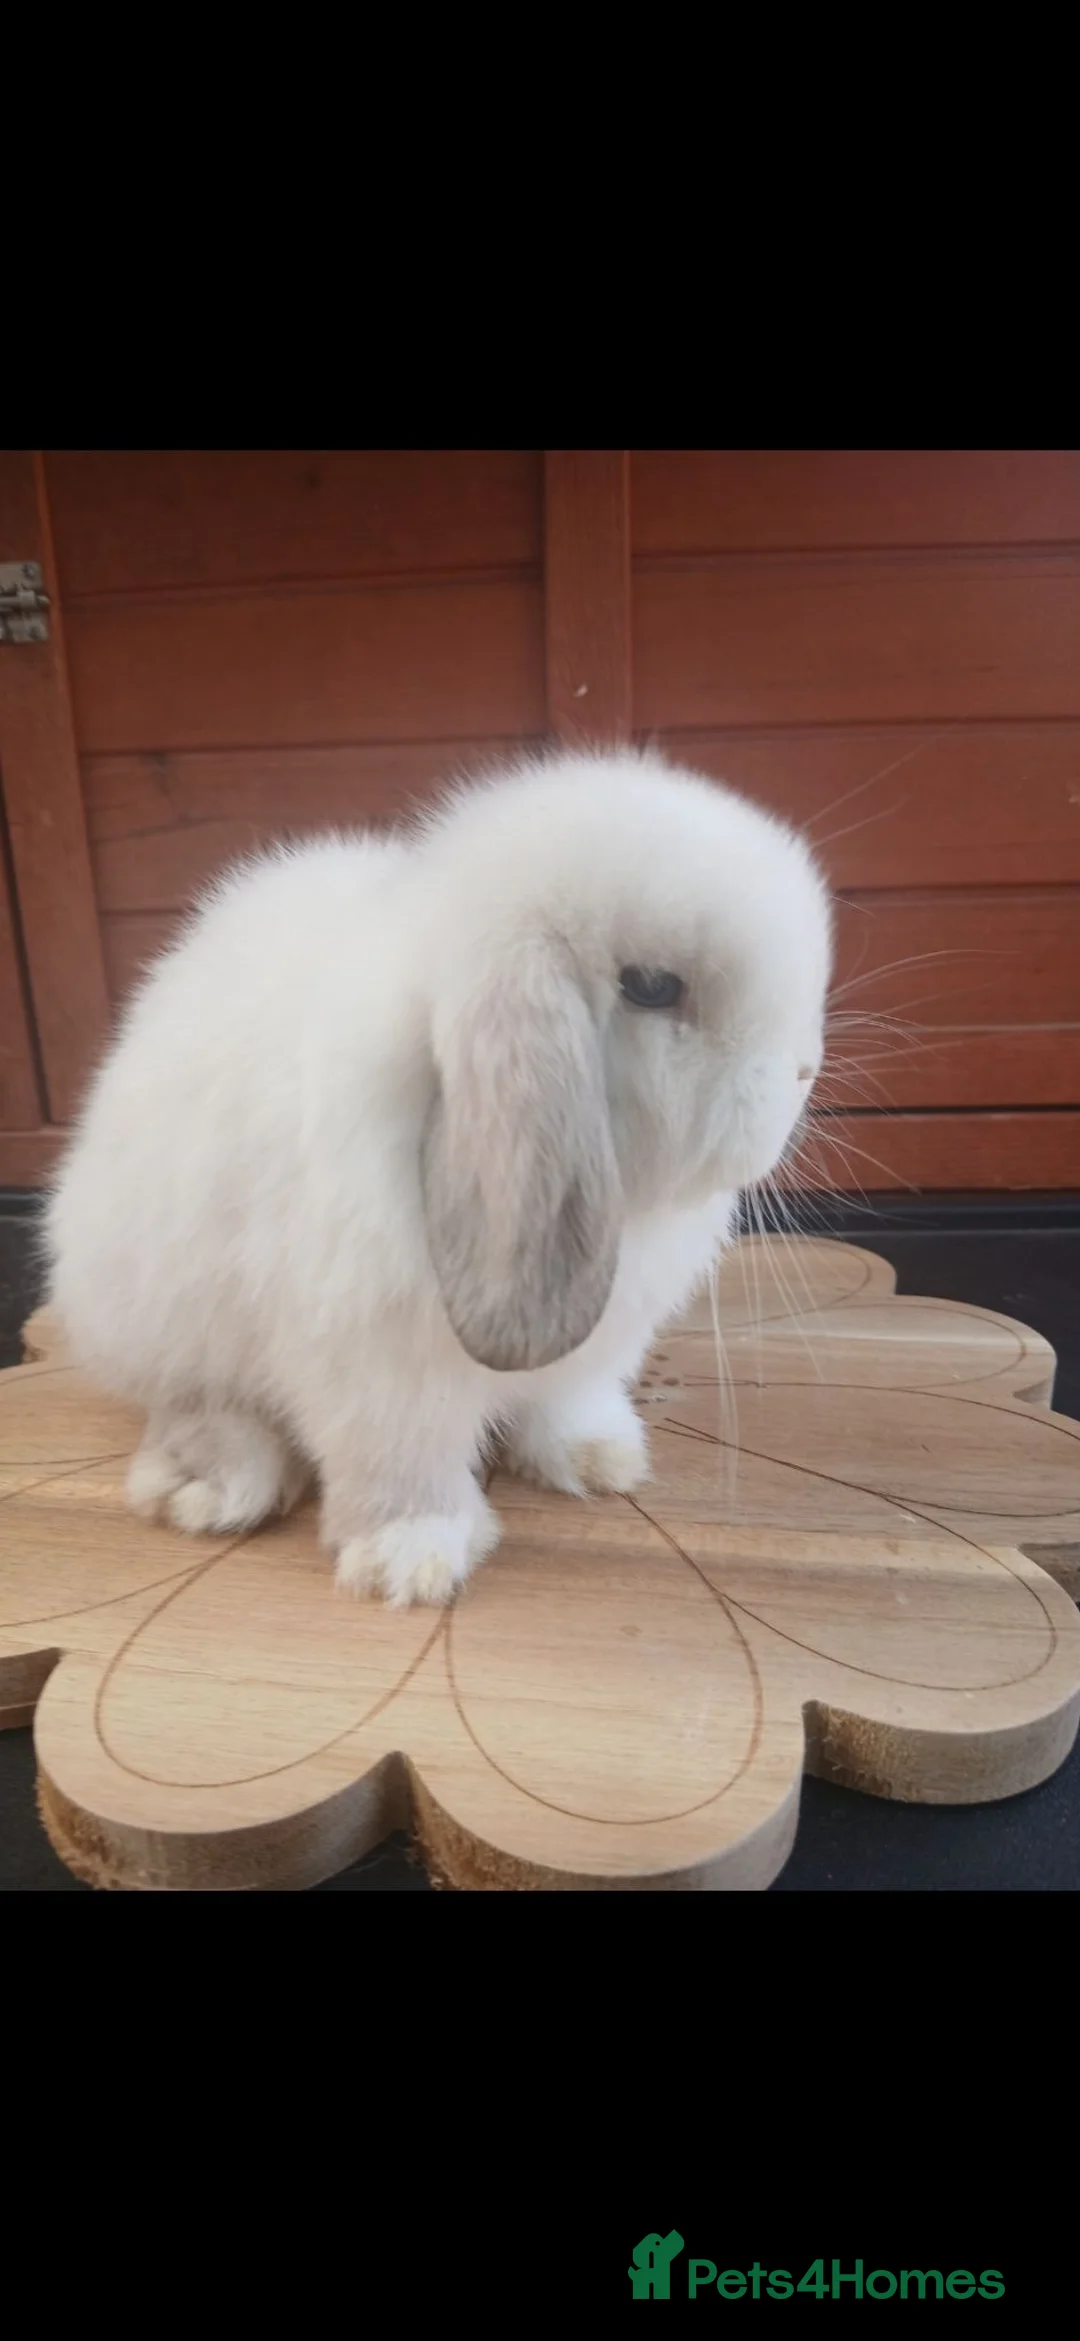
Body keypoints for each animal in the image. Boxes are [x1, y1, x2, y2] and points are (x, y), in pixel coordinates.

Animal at [44, 747, 832, 1606]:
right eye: (653, 987)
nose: (804, 1070)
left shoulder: (591, 1346)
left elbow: (566, 1398)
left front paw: (595, 1458)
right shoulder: (378, 1367)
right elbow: (403, 1460)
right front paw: (409, 1561)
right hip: (155, 1318)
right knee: (187, 1401)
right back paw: (213, 1483)